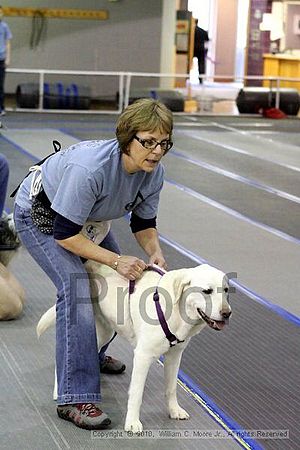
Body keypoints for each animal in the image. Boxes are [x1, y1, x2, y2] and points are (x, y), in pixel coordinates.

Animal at [36, 264, 231, 432]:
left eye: (226, 290)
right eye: (207, 291)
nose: (227, 313)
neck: (177, 311)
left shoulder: (174, 356)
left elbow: (171, 388)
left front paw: (174, 410)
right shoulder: (143, 356)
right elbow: (137, 394)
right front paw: (132, 422)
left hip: (104, 332)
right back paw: (60, 393)